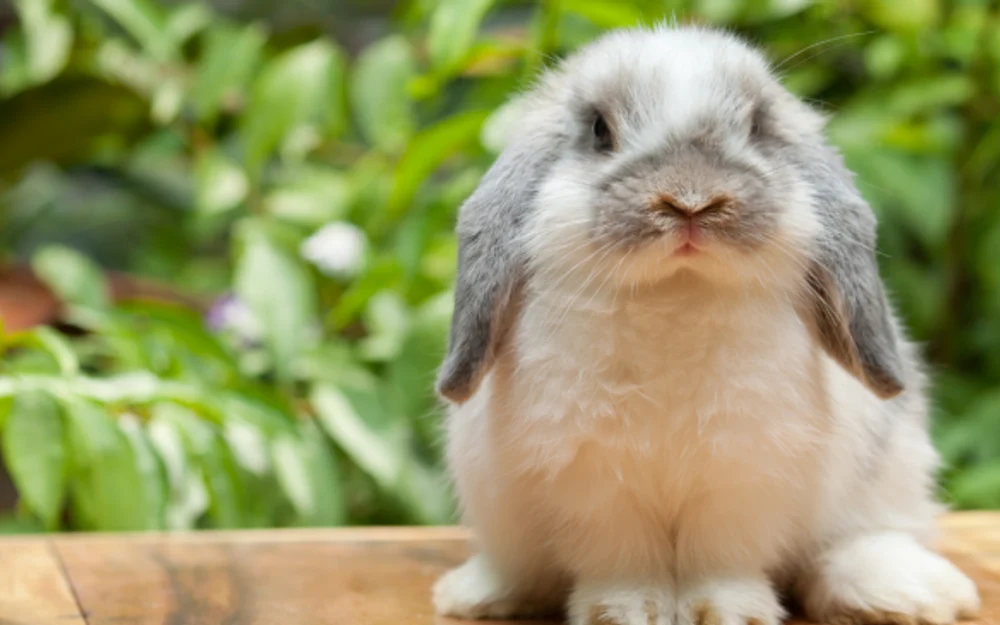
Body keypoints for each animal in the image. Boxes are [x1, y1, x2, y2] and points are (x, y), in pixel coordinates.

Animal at [431, 24, 980, 625]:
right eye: (600, 130)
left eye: (757, 127)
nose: (691, 200)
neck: (676, 294)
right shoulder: (594, 482)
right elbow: (623, 560)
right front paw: (626, 612)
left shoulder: (742, 474)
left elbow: (720, 558)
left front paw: (728, 611)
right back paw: (481, 594)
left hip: (889, 472)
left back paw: (905, 591)